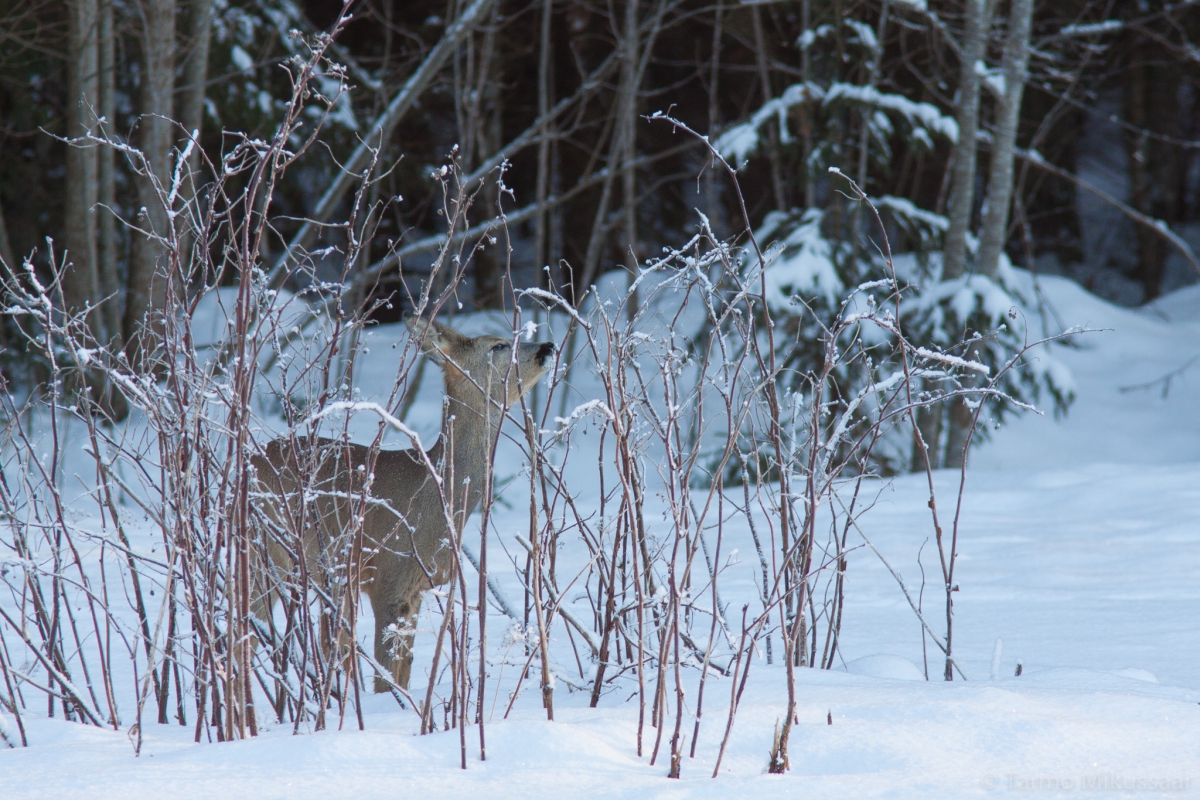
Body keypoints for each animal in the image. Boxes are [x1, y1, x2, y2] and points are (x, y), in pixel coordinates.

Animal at [252, 319, 556, 695]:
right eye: (497, 345)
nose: (548, 346)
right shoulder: (386, 579)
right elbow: (385, 680)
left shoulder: (417, 590)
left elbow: (403, 675)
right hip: (271, 553)